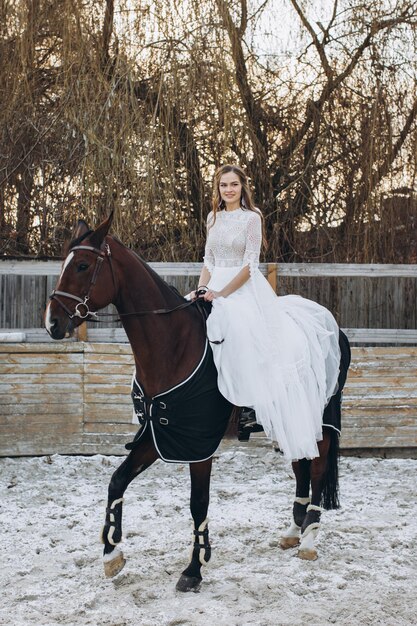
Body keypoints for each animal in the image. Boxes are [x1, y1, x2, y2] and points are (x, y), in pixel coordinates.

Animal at [45, 212, 350, 588]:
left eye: (83, 265)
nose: (52, 322)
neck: (176, 344)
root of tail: (330, 325)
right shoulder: (160, 433)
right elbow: (117, 480)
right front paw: (112, 554)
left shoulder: (197, 442)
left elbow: (198, 503)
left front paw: (194, 569)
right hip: (289, 420)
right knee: (300, 465)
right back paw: (294, 532)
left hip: (320, 418)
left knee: (317, 468)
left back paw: (308, 540)